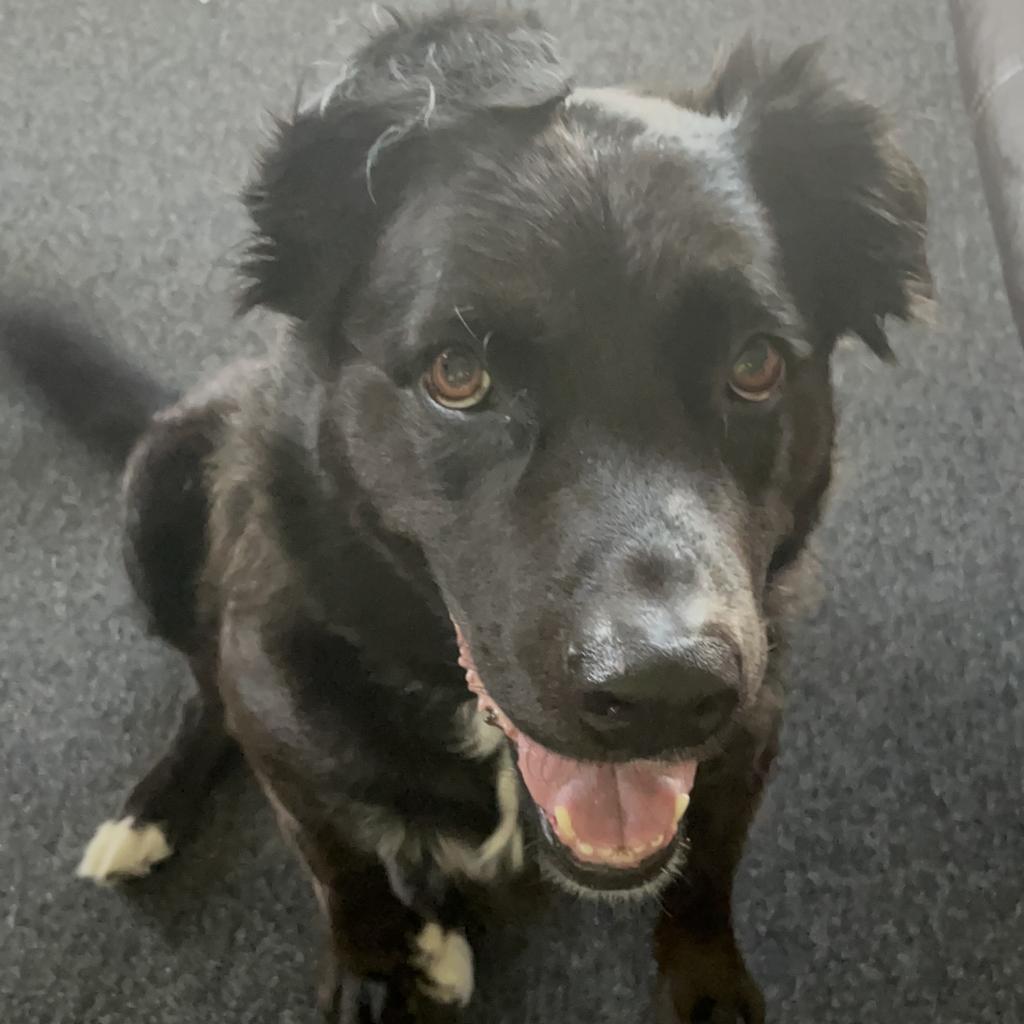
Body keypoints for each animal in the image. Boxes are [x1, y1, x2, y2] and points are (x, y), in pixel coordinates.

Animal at [0, 9, 929, 1024]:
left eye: (755, 365)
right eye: (457, 374)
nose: (664, 692)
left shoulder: (747, 738)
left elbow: (703, 881)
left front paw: (707, 985)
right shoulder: (289, 744)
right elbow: (344, 875)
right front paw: (371, 964)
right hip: (158, 499)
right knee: (203, 693)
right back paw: (157, 818)